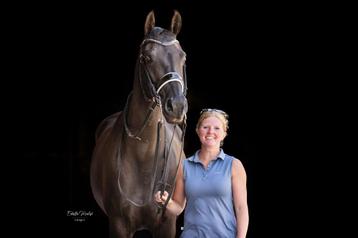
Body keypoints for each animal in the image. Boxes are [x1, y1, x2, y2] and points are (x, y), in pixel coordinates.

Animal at [90, 10, 187, 237]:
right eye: (147, 58)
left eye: (183, 57)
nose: (177, 106)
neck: (143, 157)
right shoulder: (118, 225)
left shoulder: (167, 225)